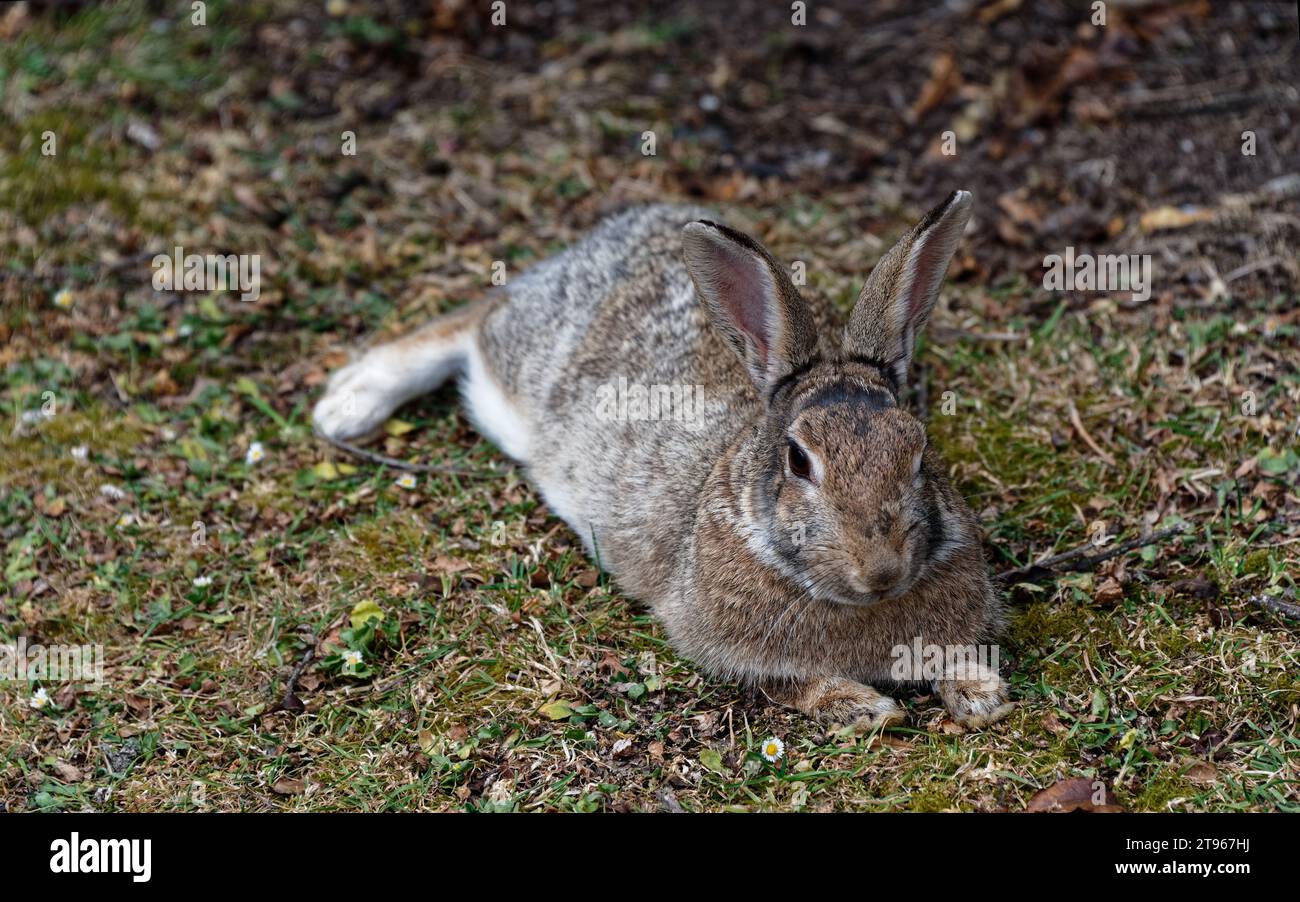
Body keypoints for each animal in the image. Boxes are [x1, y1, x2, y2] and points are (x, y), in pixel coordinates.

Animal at [313, 190, 1013, 730]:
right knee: (474, 320)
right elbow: (789, 684)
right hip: (518, 370)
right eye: (798, 461)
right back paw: (348, 404)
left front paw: (980, 695)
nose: (882, 572)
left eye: (917, 450)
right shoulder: (713, 638)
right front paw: (863, 708)